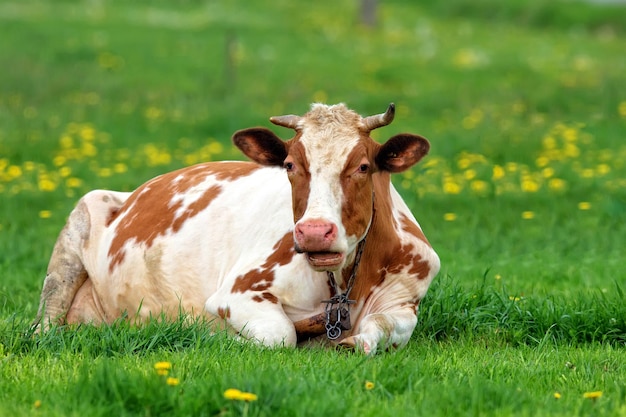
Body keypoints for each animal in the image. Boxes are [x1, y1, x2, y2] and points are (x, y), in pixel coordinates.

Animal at [31, 102, 436, 352]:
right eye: (290, 165)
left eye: (363, 166)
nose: (314, 231)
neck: (346, 278)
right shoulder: (236, 293)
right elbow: (279, 335)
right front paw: (213, 336)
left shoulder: (404, 301)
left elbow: (383, 330)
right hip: (78, 226)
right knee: (44, 323)